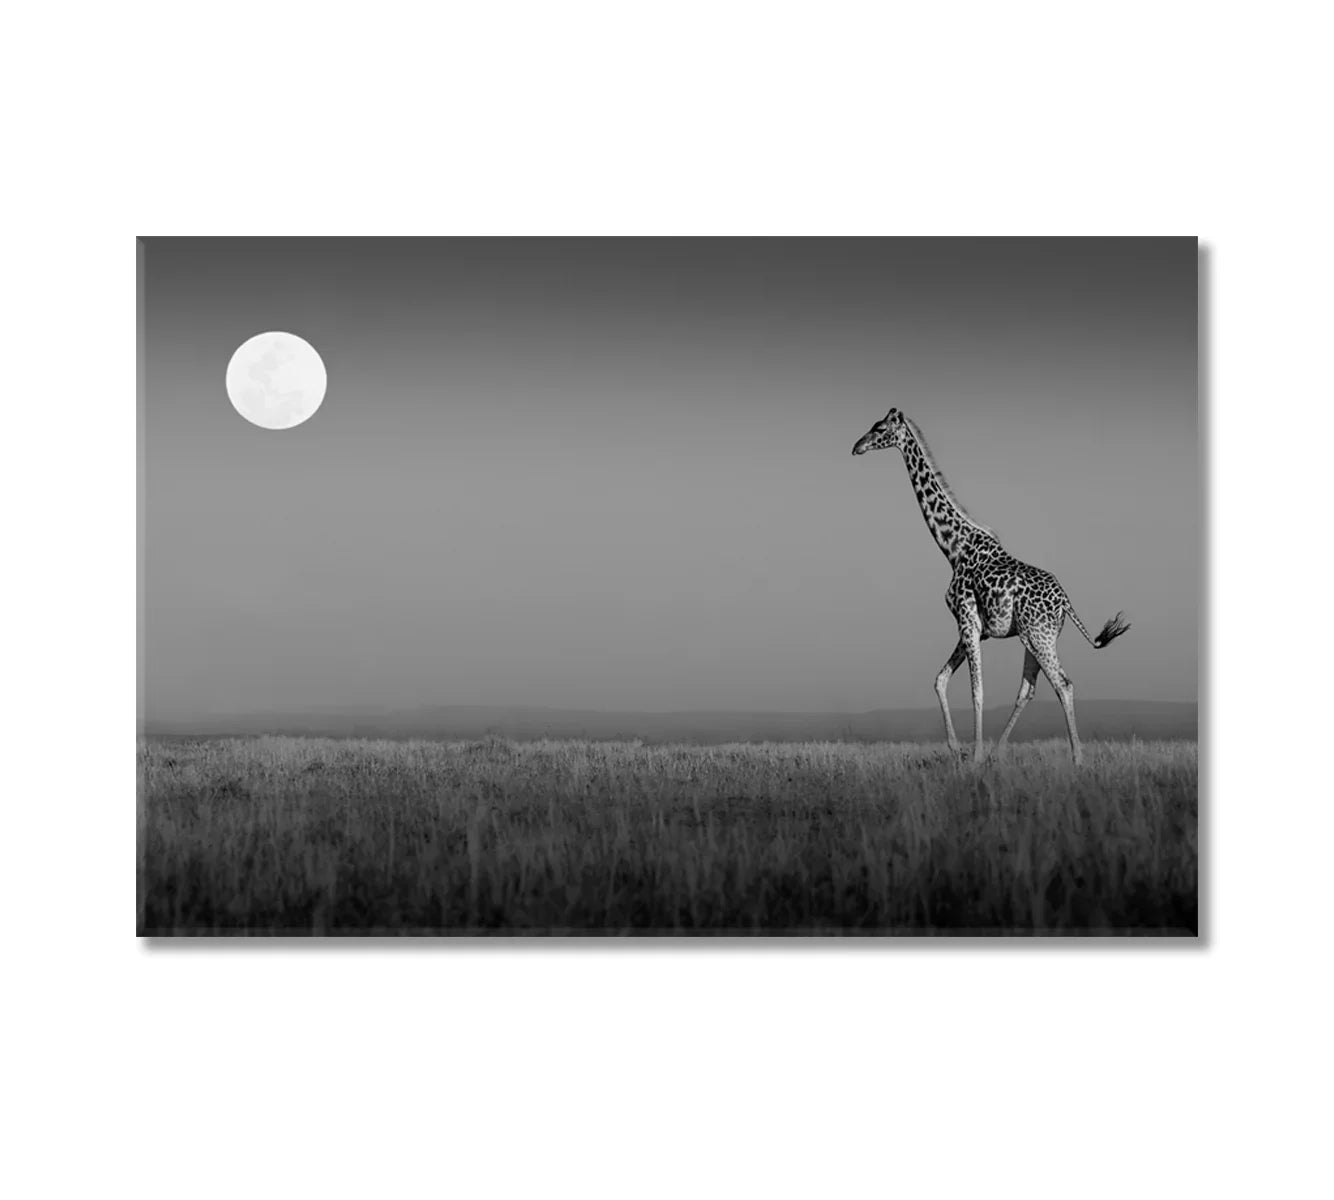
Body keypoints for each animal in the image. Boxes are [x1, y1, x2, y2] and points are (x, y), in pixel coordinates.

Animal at [851, 408, 1130, 766]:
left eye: (879, 428)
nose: (856, 447)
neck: (954, 548)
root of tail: (1066, 602)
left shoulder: (967, 619)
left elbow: (976, 691)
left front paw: (974, 756)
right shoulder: (973, 626)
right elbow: (940, 680)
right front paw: (957, 748)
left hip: (1039, 635)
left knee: (1063, 684)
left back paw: (1077, 759)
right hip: (1033, 636)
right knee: (1028, 689)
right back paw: (1001, 751)